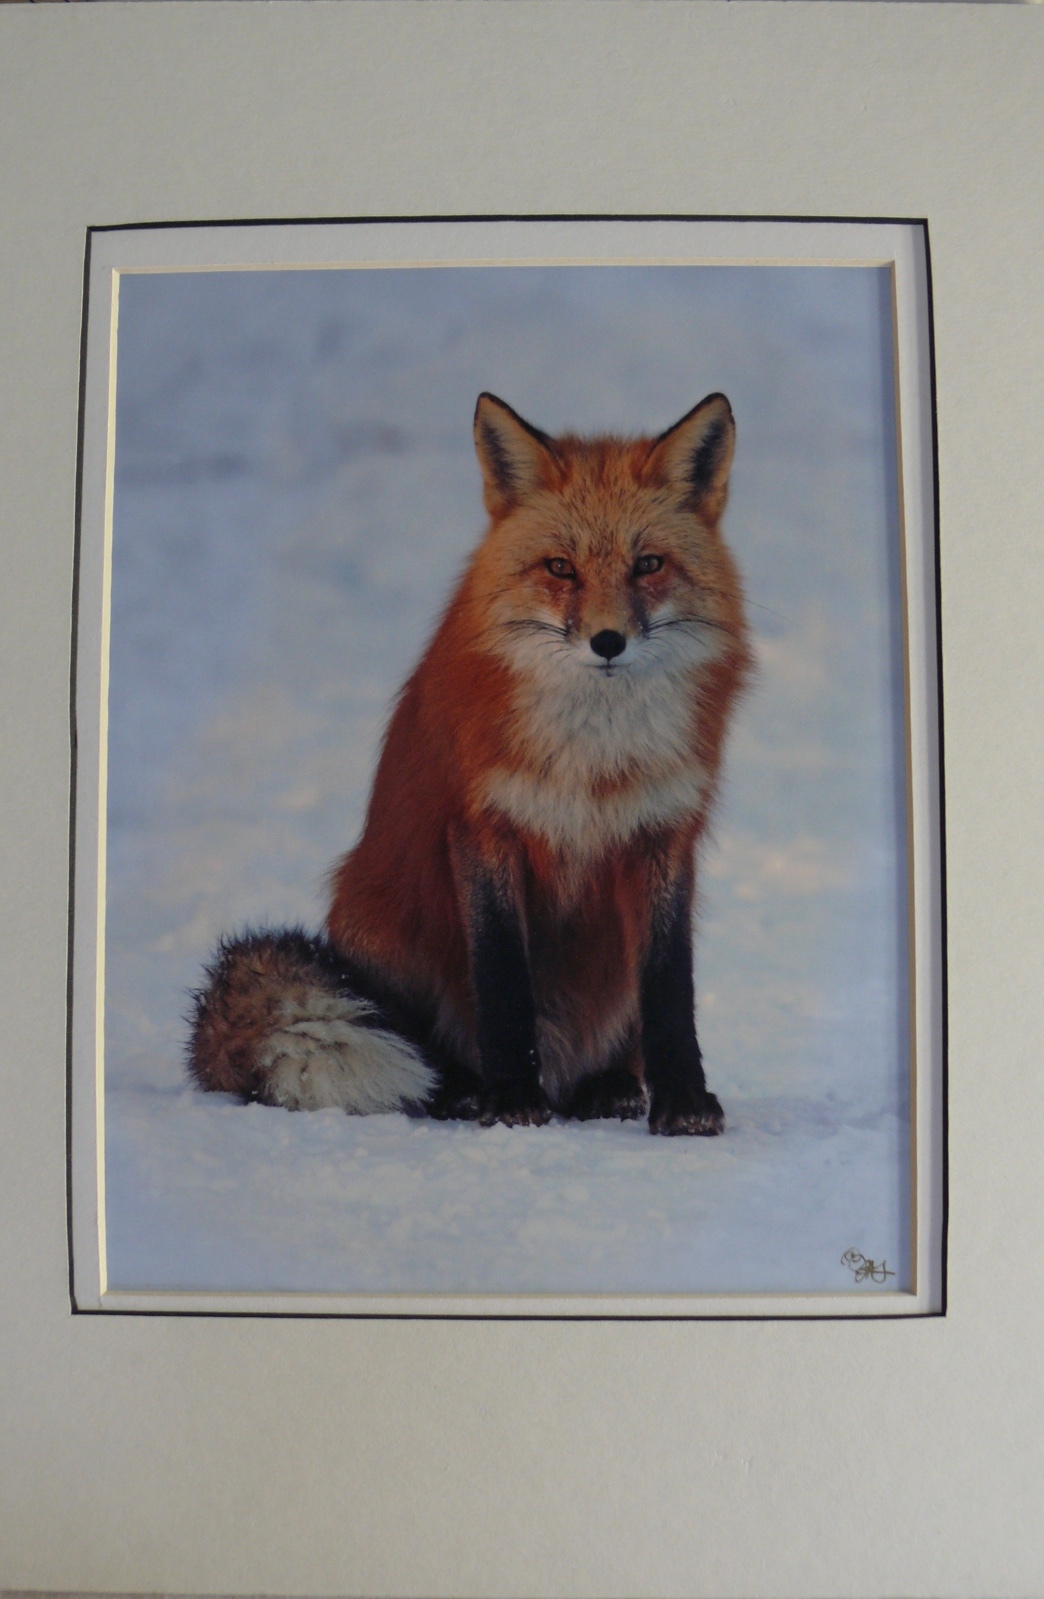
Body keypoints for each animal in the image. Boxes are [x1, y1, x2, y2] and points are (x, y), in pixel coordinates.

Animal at [189, 391, 751, 1134]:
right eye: (560, 568)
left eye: (649, 565)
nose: (607, 641)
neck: (593, 760)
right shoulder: (483, 828)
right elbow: (504, 982)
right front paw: (511, 1097)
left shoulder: (663, 836)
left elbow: (670, 988)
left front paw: (684, 1100)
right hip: (382, 927)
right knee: (422, 1046)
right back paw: (462, 1089)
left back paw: (607, 1086)